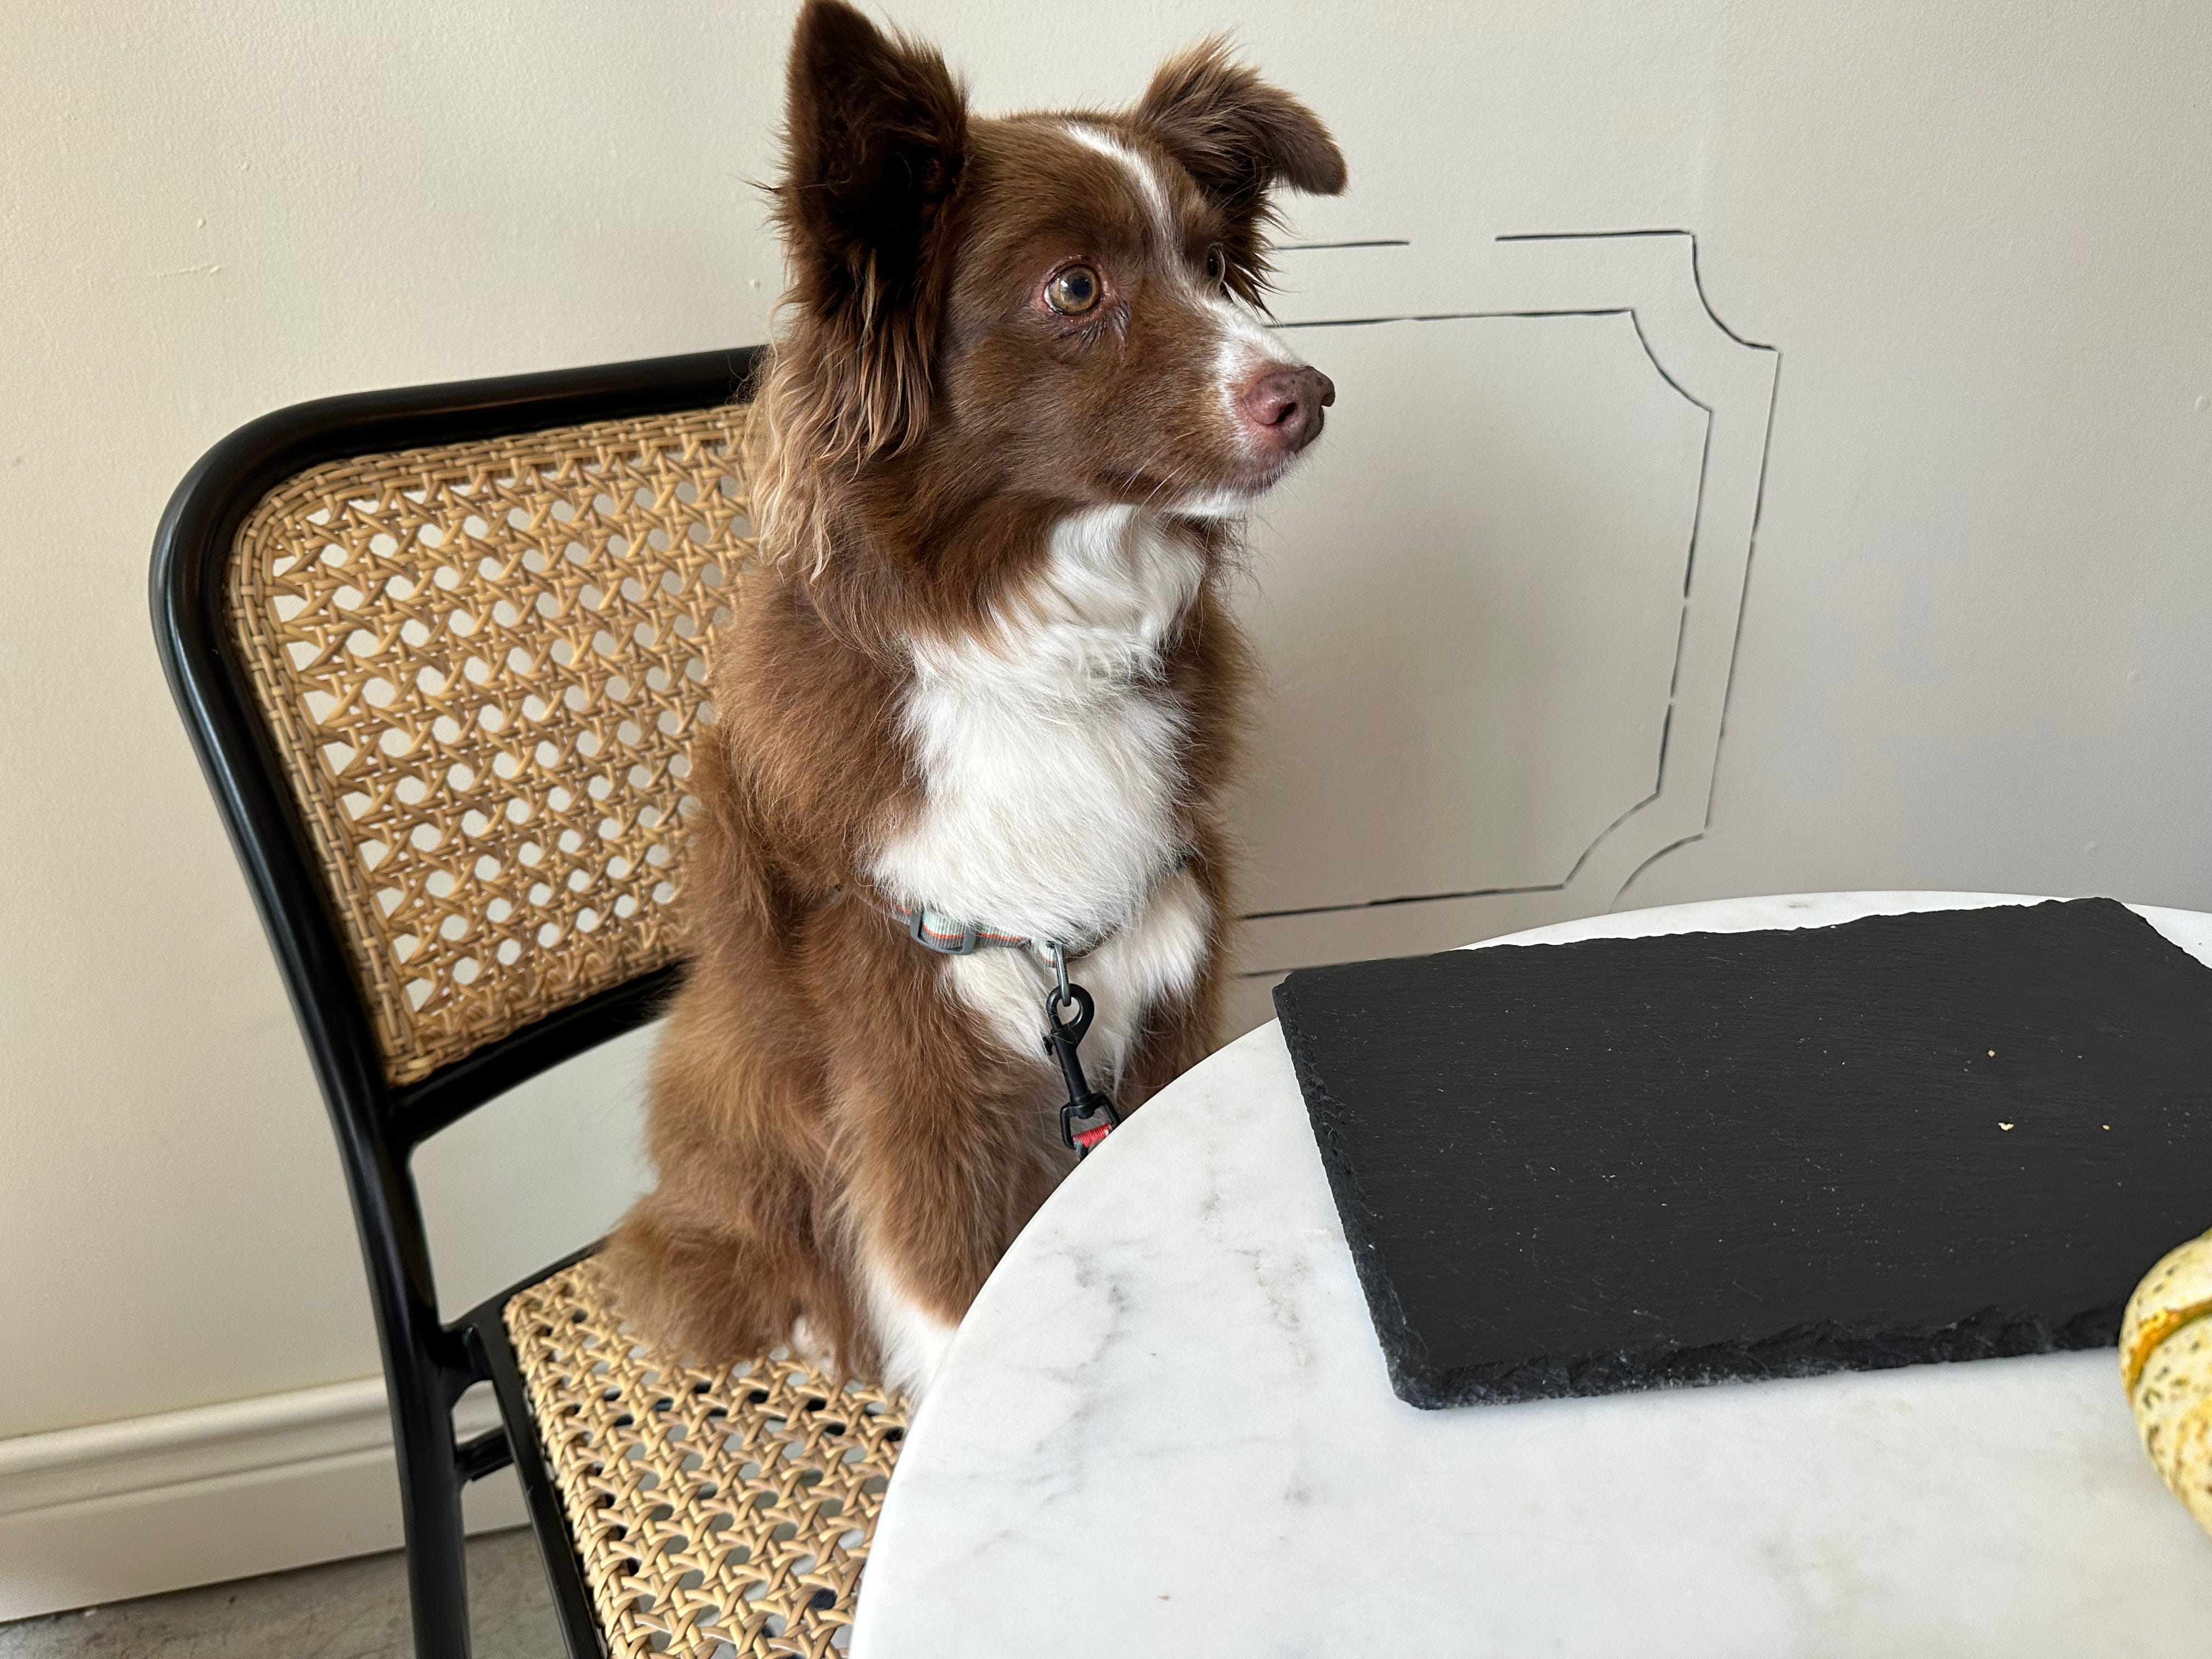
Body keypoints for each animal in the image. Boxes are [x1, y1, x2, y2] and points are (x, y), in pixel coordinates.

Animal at [606, 3, 1353, 1407]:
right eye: (1076, 289)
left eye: (1216, 264)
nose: (1310, 396)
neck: (1034, 646)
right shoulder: (910, 1036)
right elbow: (953, 1298)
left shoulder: (1166, 966)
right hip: (728, 1101)